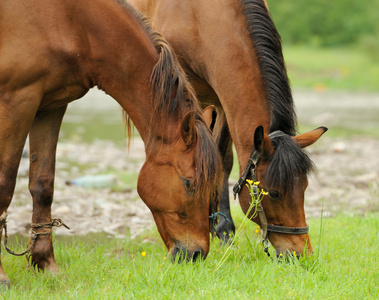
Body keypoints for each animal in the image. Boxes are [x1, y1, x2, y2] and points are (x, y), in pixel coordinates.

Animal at [0, 0, 223, 286]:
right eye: (189, 182)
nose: (195, 255)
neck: (71, 21)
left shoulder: (49, 106)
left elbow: (42, 185)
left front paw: (46, 264)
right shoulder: (17, 101)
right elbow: (5, 184)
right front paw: (2, 276)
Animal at [130, 0, 326, 256]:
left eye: (304, 187)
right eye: (274, 193)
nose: (300, 253)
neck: (200, 17)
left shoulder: (222, 99)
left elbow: (222, 159)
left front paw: (221, 229)